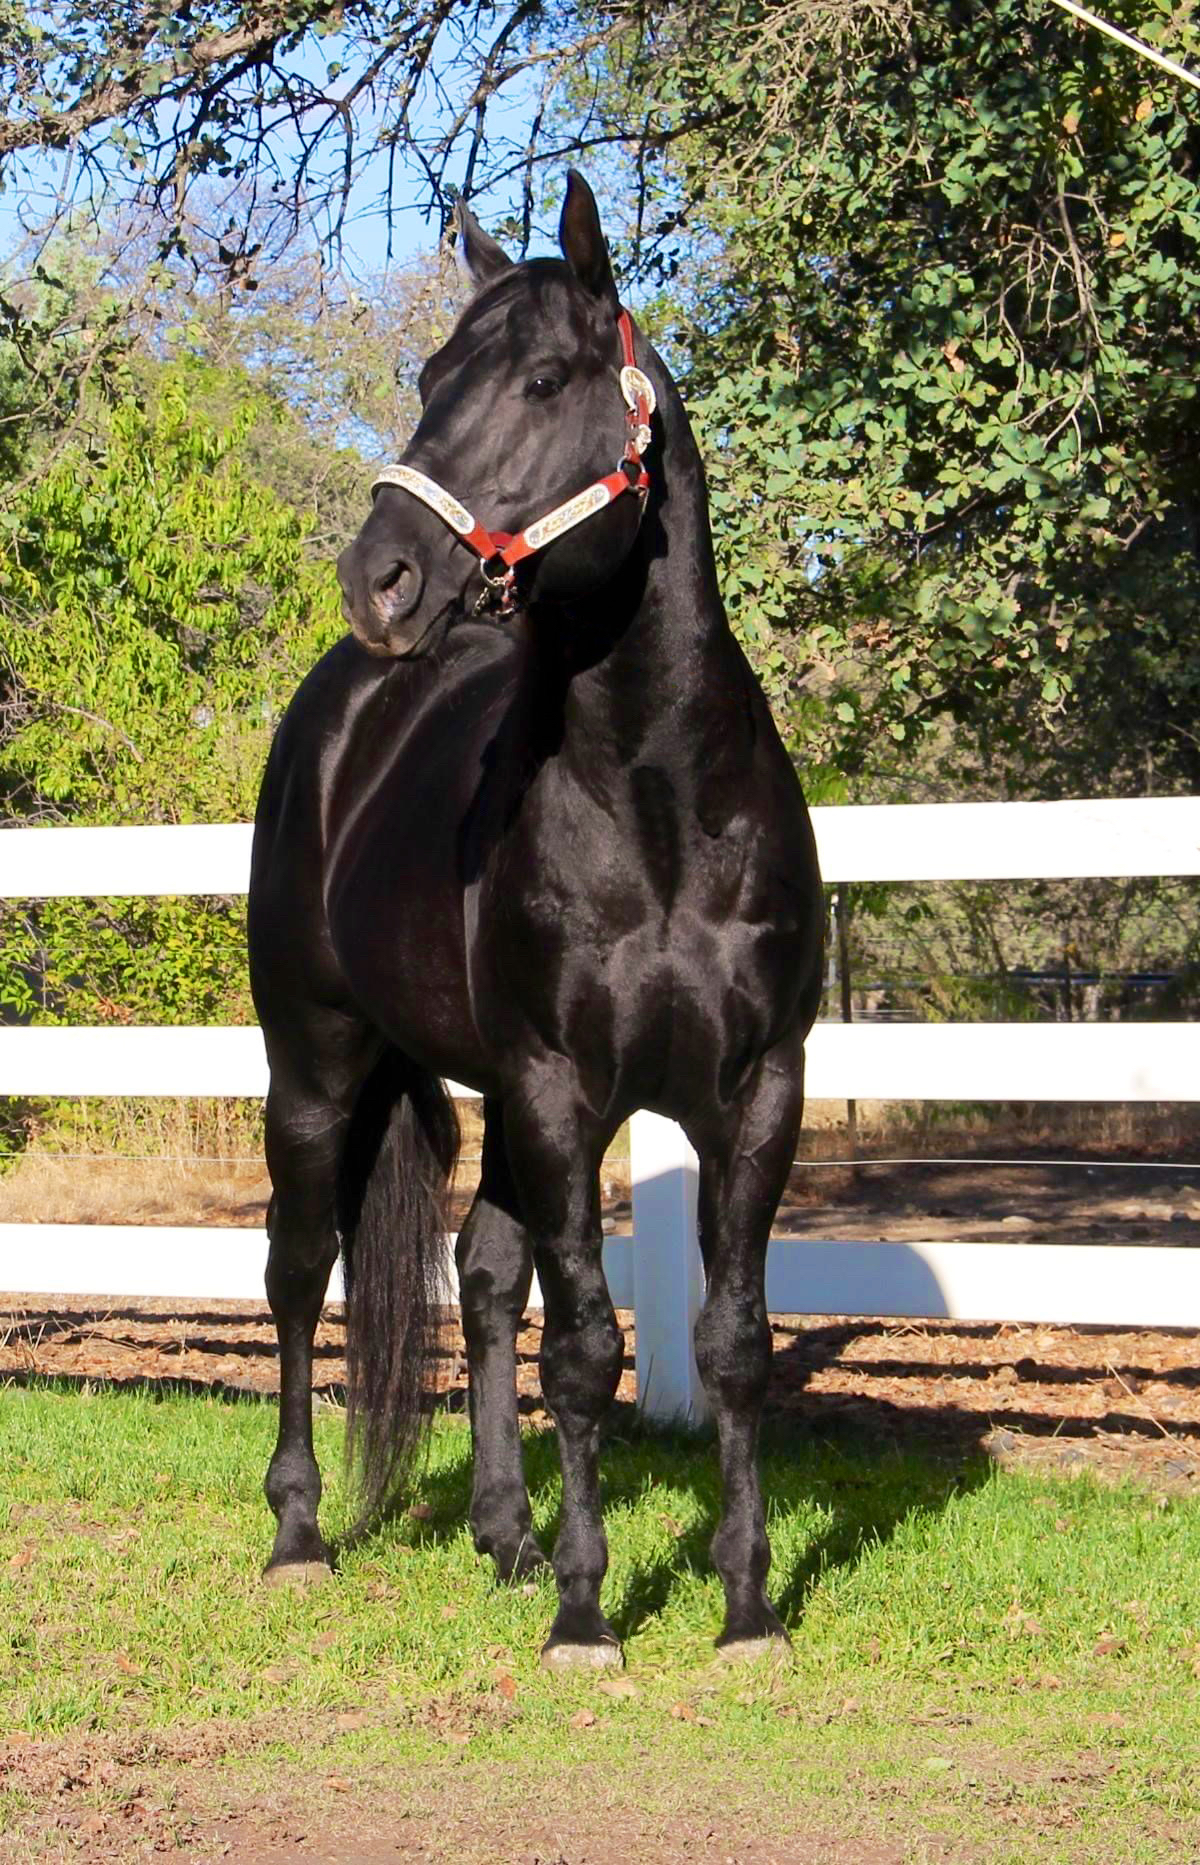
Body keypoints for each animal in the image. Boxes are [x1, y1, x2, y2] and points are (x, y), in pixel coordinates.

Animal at [248, 171, 821, 1663]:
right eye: (429, 379)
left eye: (546, 379)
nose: (381, 577)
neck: (663, 804)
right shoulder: (565, 1089)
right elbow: (586, 1350)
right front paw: (585, 1611)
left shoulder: (757, 1091)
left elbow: (732, 1343)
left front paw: (745, 1607)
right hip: (316, 1067)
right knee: (299, 1269)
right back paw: (300, 1534)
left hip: (495, 1094)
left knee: (485, 1266)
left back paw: (501, 1532)